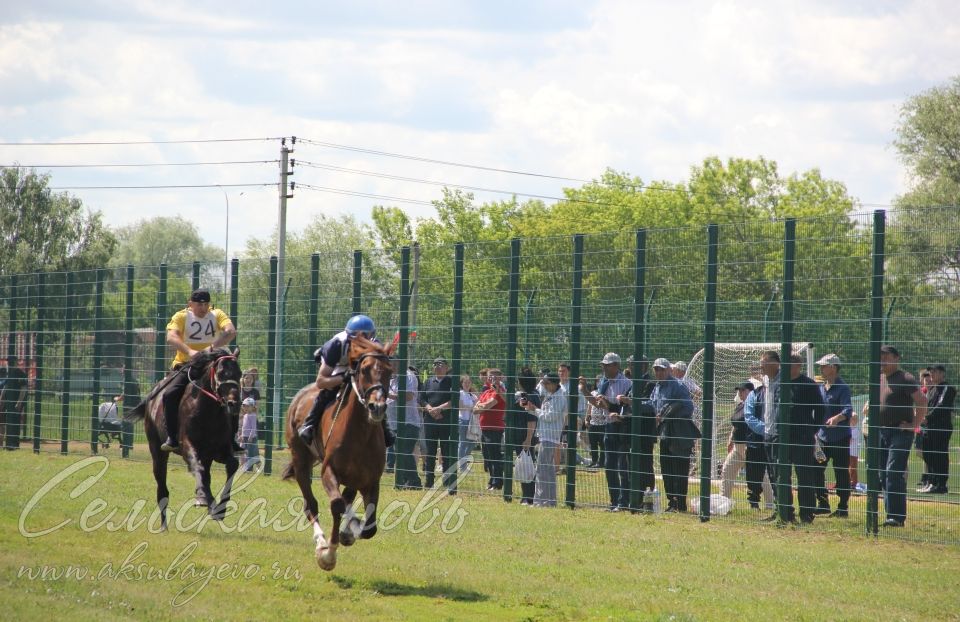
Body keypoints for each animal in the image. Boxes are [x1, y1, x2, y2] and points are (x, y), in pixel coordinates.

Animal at [126, 348, 244, 528]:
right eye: (221, 373)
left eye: (239, 373)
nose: (234, 403)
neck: (208, 412)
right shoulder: (188, 447)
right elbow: (197, 467)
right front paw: (206, 500)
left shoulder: (221, 451)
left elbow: (232, 465)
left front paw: (220, 509)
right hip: (157, 453)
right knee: (163, 489)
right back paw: (164, 526)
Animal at [282, 338, 394, 572]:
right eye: (364, 370)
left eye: (390, 370)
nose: (377, 407)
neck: (360, 434)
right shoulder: (329, 471)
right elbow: (336, 505)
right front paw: (328, 554)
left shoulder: (371, 480)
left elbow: (369, 528)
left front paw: (349, 531)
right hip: (300, 461)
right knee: (311, 504)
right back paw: (321, 542)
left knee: (346, 497)